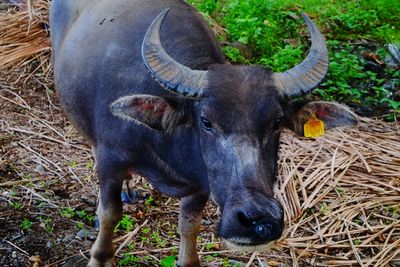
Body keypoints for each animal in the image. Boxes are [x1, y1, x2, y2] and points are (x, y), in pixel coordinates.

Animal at [48, 1, 358, 266]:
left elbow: (190, 225)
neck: (169, 143)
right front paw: (101, 256)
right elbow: (110, 213)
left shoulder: (201, 186)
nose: (258, 220)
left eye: (277, 122)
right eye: (206, 121)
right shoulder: (111, 157)